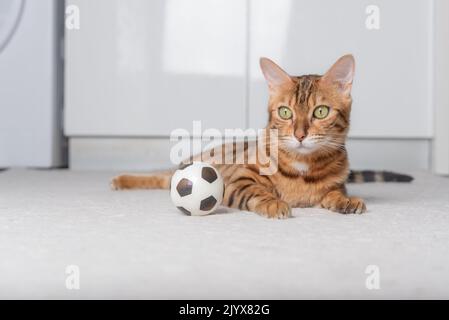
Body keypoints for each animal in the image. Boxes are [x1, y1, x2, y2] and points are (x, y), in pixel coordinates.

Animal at [113, 55, 412, 220]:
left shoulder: (338, 182)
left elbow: (334, 192)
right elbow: (255, 190)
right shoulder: (238, 178)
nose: (300, 134)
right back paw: (122, 179)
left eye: (321, 111)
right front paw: (272, 202)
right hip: (192, 165)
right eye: (285, 112)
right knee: (164, 176)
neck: (303, 170)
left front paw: (344, 201)